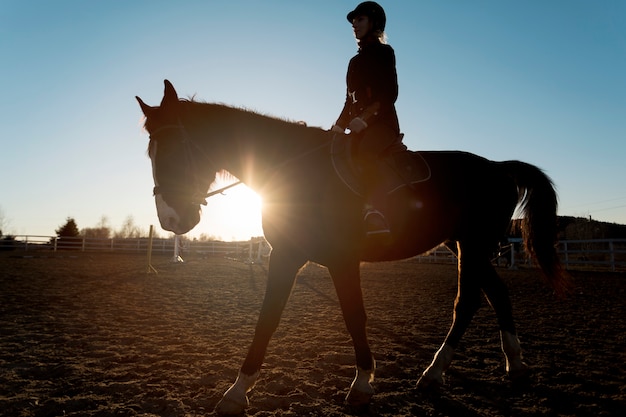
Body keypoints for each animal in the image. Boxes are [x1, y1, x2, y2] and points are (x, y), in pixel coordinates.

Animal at [138, 80, 572, 412]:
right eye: (150, 154)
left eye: (173, 149)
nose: (171, 220)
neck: (297, 170)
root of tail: (499, 167)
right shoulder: (286, 256)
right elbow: (268, 318)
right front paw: (237, 391)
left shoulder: (342, 260)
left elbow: (354, 316)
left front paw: (362, 384)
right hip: (465, 245)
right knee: (493, 295)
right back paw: (504, 367)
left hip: (475, 245)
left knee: (471, 302)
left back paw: (445, 371)